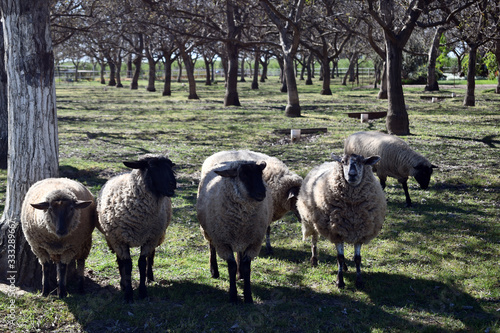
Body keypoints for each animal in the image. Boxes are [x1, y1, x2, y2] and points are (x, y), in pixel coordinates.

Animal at [96, 153, 177, 300]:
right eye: (152, 166)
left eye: (170, 166)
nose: (173, 184)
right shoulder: (119, 240)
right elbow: (127, 265)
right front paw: (128, 294)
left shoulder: (150, 239)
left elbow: (142, 263)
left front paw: (142, 291)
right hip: (113, 239)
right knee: (120, 261)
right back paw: (123, 283)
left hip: (156, 236)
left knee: (151, 255)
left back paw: (149, 277)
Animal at [196, 158, 274, 304]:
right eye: (243, 175)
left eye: (260, 174)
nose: (262, 193)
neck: (242, 219)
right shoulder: (223, 242)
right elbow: (231, 266)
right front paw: (233, 296)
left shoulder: (254, 242)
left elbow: (246, 266)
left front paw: (248, 296)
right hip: (209, 232)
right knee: (211, 247)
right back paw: (214, 271)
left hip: (242, 238)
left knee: (239, 252)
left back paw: (240, 275)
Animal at [296, 153, 386, 288]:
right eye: (343, 162)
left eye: (362, 162)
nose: (352, 174)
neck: (352, 208)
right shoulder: (336, 232)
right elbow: (340, 257)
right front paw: (340, 281)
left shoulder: (360, 232)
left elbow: (357, 258)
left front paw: (359, 281)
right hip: (312, 220)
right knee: (314, 240)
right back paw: (314, 260)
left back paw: (344, 267)